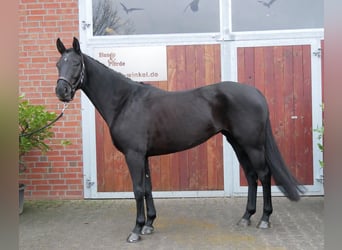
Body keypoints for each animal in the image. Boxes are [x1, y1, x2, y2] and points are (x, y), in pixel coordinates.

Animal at [54, 37, 304, 242]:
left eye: (75, 63)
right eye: (58, 64)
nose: (61, 91)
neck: (125, 101)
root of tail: (256, 93)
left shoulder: (134, 155)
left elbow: (137, 189)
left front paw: (136, 230)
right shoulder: (143, 156)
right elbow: (148, 187)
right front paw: (149, 224)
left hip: (252, 145)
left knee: (264, 174)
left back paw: (264, 219)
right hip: (237, 143)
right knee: (251, 176)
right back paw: (246, 217)